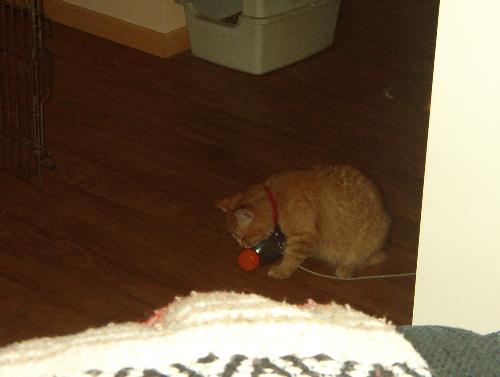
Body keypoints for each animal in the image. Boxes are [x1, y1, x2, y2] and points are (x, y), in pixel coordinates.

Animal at [217, 165, 392, 280]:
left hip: (362, 247)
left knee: (365, 260)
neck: (276, 201)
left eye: (243, 238)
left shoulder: (303, 236)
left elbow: (291, 257)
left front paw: (281, 271)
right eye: (236, 239)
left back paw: (346, 269)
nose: (242, 247)